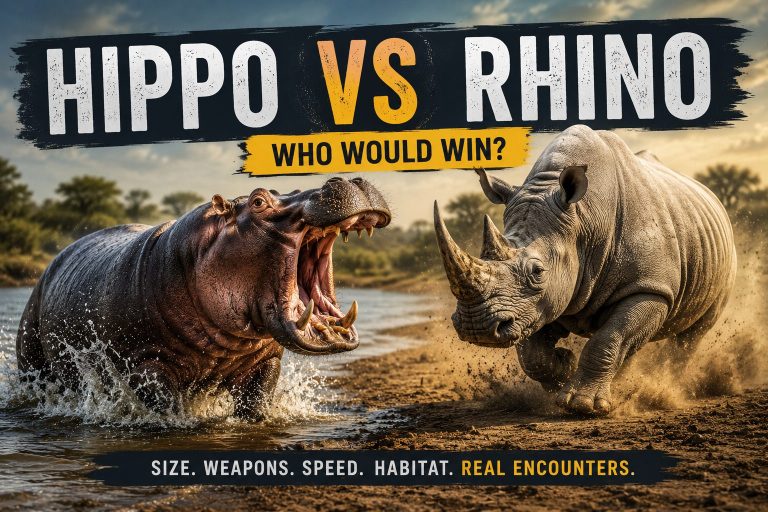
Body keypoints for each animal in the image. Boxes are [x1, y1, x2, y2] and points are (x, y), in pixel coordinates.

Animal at [16, 177, 390, 418]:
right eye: (258, 201)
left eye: (290, 188)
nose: (350, 178)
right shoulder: (145, 365)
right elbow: (166, 406)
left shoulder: (267, 361)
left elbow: (257, 403)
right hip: (31, 357)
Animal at [434, 125, 737, 415]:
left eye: (537, 272)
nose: (477, 327)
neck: (584, 219)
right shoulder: (541, 303)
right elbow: (532, 355)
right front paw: (563, 369)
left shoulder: (650, 288)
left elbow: (610, 337)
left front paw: (581, 404)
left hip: (725, 257)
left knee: (692, 335)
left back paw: (668, 383)